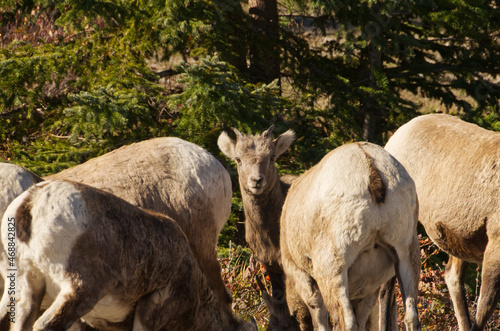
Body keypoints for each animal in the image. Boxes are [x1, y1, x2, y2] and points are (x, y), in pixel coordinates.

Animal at [280, 142, 420, 331]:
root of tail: (373, 174)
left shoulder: (302, 276)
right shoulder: (369, 289)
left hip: (333, 268)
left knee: (346, 322)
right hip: (407, 253)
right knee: (411, 317)